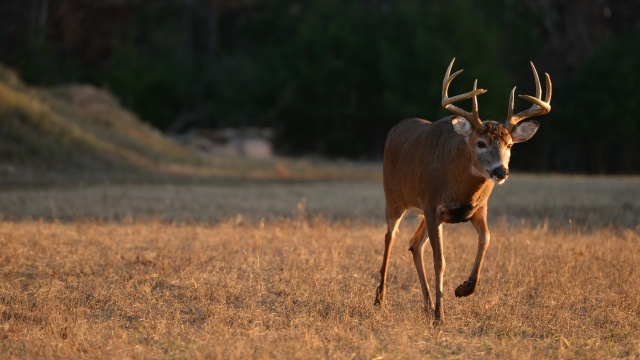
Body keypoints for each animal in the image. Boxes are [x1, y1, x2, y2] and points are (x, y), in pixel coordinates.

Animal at [376, 58, 552, 324]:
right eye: (481, 143)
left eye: (510, 145)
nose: (501, 171)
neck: (461, 189)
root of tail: (395, 129)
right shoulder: (432, 205)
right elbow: (440, 261)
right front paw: (441, 314)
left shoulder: (478, 208)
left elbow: (486, 238)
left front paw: (463, 289)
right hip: (394, 198)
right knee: (390, 238)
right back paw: (380, 299)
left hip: (422, 212)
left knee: (414, 244)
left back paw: (426, 304)